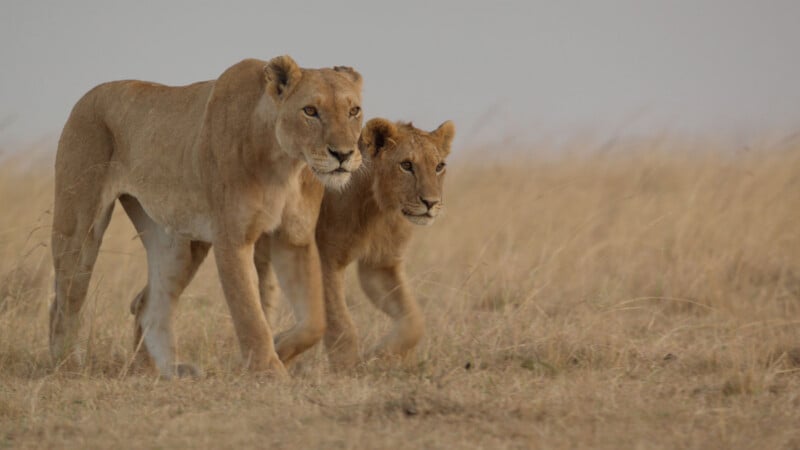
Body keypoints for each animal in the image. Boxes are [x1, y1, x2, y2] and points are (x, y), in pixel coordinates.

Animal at [49, 56, 364, 379]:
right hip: (79, 227)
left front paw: (281, 348)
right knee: (64, 302)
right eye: (310, 111)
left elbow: (314, 322)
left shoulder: (294, 239)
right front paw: (269, 371)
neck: (286, 165)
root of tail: (85, 98)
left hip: (177, 246)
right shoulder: (233, 239)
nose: (343, 154)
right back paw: (67, 367)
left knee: (148, 305)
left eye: (354, 111)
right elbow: (249, 313)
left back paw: (164, 372)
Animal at [256, 118, 455, 370]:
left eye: (439, 166)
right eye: (406, 165)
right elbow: (339, 321)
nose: (431, 203)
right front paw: (347, 366)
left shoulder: (380, 266)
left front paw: (379, 354)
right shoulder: (326, 259)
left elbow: (414, 321)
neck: (380, 210)